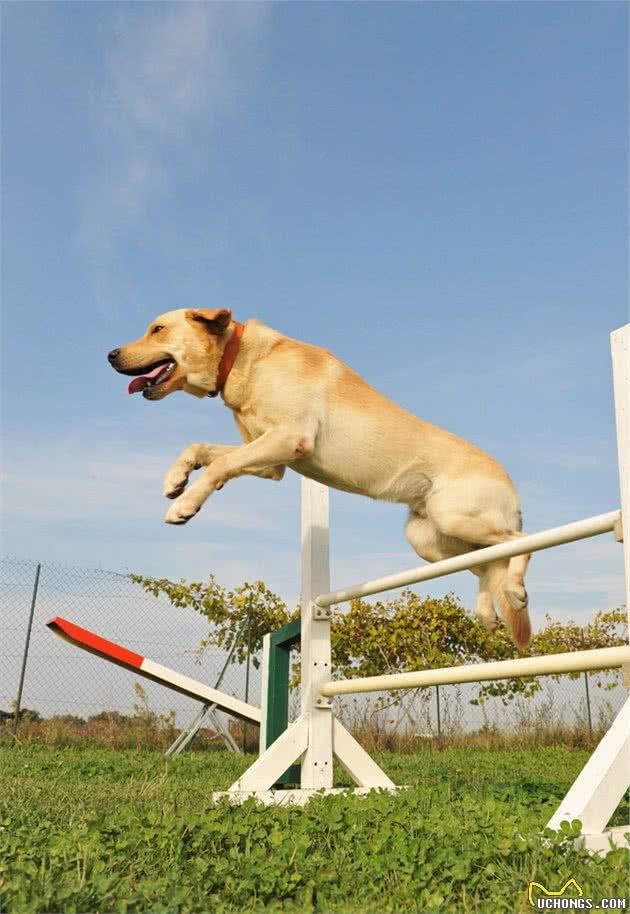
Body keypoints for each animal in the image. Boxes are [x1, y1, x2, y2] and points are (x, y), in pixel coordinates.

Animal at [110, 310, 532, 644]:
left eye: (157, 329)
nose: (110, 355)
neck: (244, 358)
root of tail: (514, 492)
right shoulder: (269, 460)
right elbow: (200, 449)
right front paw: (175, 479)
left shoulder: (289, 439)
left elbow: (217, 466)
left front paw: (184, 505)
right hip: (428, 538)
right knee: (487, 562)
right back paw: (487, 614)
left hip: (457, 517)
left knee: (517, 545)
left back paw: (514, 589)